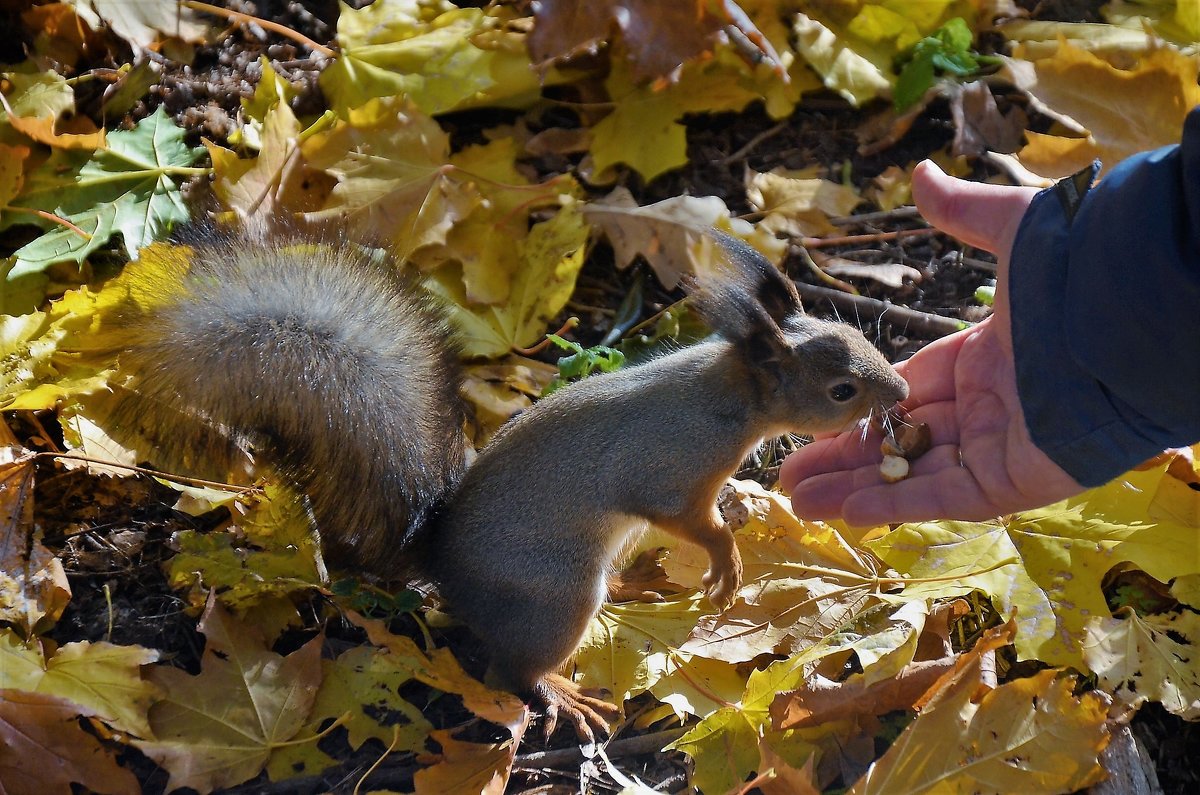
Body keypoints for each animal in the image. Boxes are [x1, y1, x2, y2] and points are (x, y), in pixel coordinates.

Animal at [108, 231, 907, 749]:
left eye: (857, 337)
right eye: (841, 390)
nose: (898, 391)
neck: (730, 400)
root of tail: (443, 568)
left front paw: (741, 500)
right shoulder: (671, 466)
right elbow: (684, 516)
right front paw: (724, 557)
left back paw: (634, 588)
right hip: (555, 598)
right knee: (512, 667)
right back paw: (565, 695)